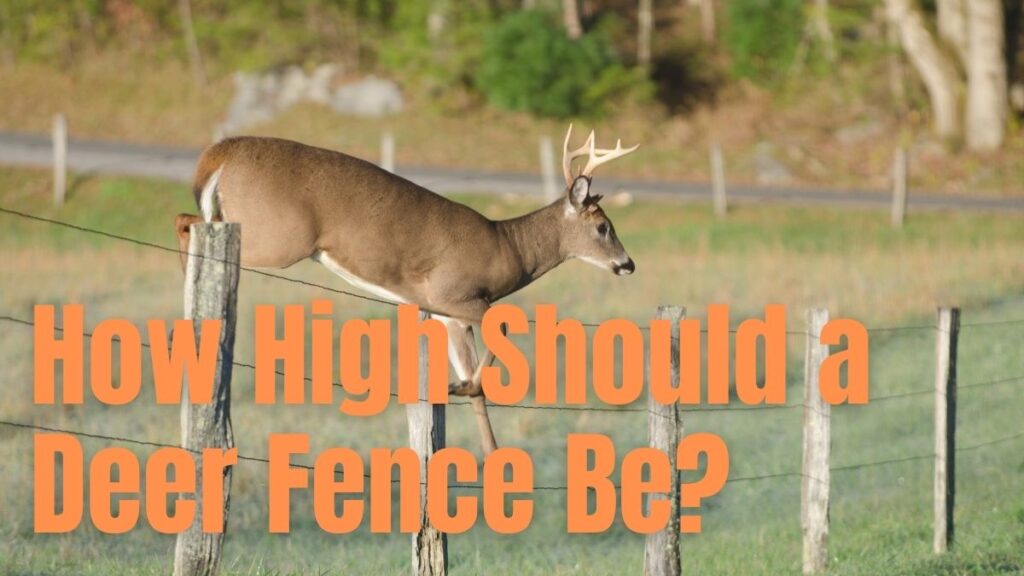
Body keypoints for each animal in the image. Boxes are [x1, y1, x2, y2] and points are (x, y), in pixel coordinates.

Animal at [174, 125, 638, 455]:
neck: (509, 247)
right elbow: (506, 327)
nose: (628, 263)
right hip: (276, 236)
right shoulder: (452, 294)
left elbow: (475, 381)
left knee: (186, 220)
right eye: (603, 227)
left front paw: (489, 446)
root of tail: (218, 155)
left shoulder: (450, 316)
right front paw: (467, 395)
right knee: (186, 222)